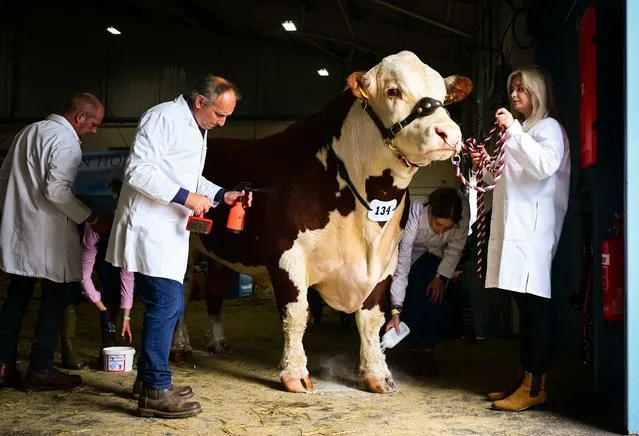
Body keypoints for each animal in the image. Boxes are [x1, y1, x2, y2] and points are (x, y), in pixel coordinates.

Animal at [172, 52, 472, 396]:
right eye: (393, 90)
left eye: (443, 96)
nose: (448, 133)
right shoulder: (287, 255)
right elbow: (296, 313)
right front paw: (294, 373)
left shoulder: (387, 260)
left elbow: (371, 318)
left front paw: (378, 374)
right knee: (183, 289)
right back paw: (180, 347)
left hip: (222, 248)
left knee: (214, 291)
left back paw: (218, 342)